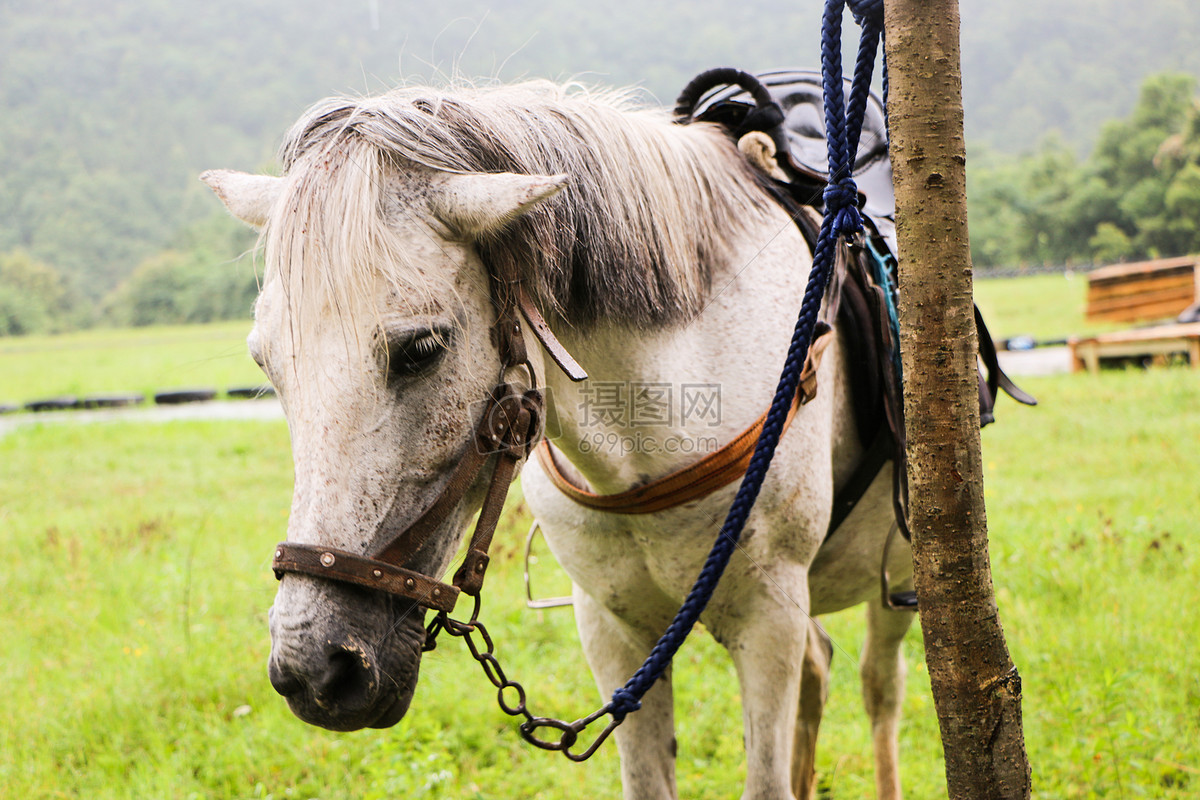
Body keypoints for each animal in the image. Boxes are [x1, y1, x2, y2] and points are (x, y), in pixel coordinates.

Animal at [204, 81, 916, 800]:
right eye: (266, 363)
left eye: (422, 349)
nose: (314, 670)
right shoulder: (611, 627)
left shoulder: (769, 618)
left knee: (881, 686)